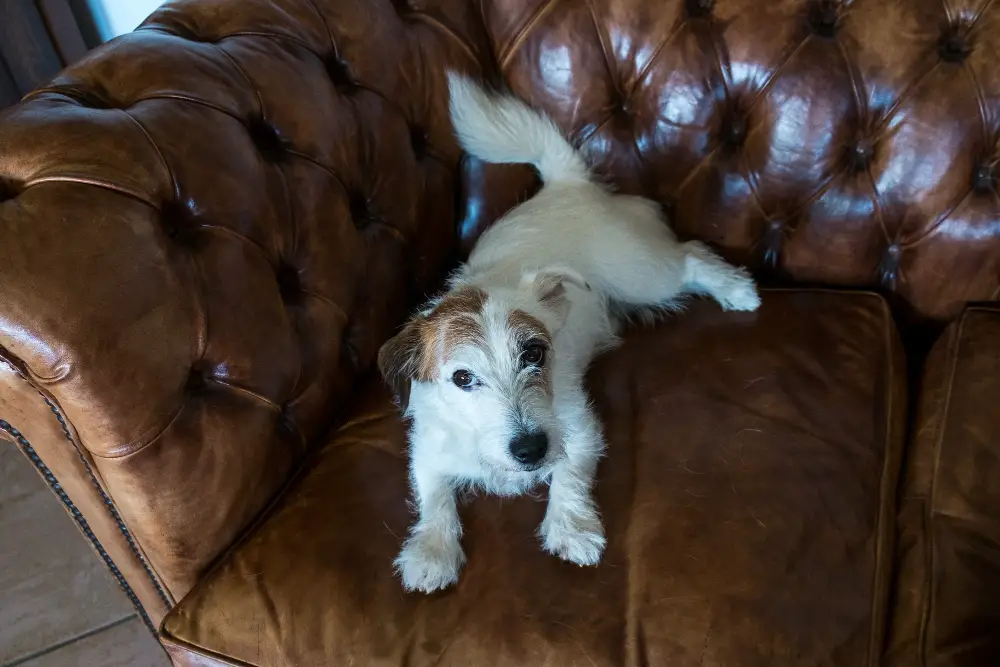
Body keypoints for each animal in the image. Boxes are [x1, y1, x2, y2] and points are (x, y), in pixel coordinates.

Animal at [376, 73, 756, 596]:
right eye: (462, 378)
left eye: (534, 353)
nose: (530, 449)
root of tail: (566, 183)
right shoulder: (429, 449)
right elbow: (434, 494)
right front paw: (431, 551)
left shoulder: (577, 429)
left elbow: (569, 476)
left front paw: (571, 529)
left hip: (643, 274)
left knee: (693, 256)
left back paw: (739, 291)